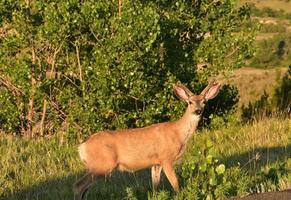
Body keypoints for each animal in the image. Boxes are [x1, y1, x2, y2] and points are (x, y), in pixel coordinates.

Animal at [73, 80, 221, 199]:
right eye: (190, 102)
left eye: (204, 102)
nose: (198, 111)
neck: (178, 134)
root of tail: (81, 147)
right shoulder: (166, 158)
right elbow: (175, 183)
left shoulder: (156, 163)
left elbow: (155, 185)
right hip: (103, 164)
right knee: (78, 185)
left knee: (85, 188)